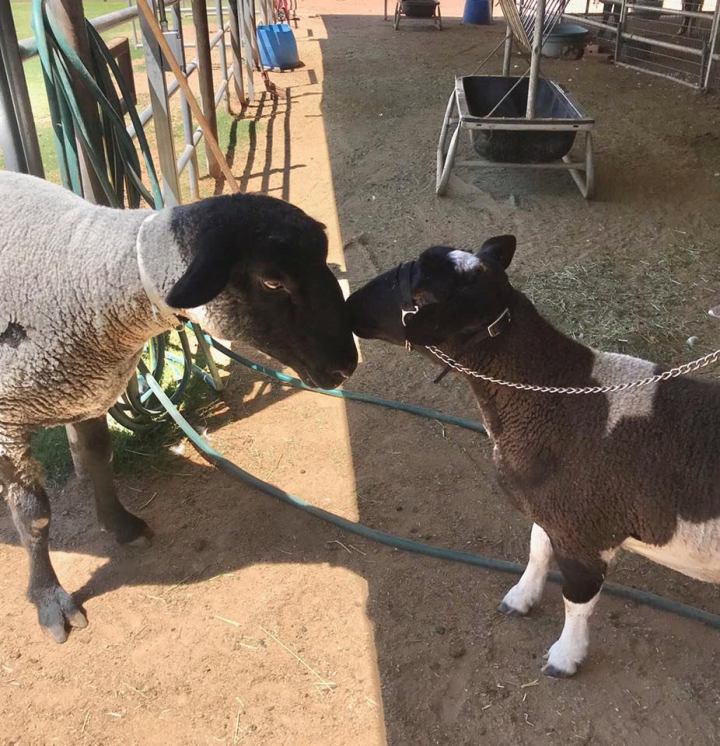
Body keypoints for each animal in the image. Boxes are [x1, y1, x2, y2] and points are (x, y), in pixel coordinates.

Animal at [0, 171, 358, 644]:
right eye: (272, 282)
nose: (347, 364)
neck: (88, 276)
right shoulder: (8, 421)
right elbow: (34, 517)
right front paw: (50, 600)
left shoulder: (90, 392)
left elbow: (99, 458)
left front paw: (122, 526)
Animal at [348, 237, 720, 676]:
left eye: (422, 298)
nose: (350, 304)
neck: (556, 399)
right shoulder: (549, 509)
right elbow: (537, 549)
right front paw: (520, 597)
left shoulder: (583, 533)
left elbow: (577, 601)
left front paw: (565, 657)